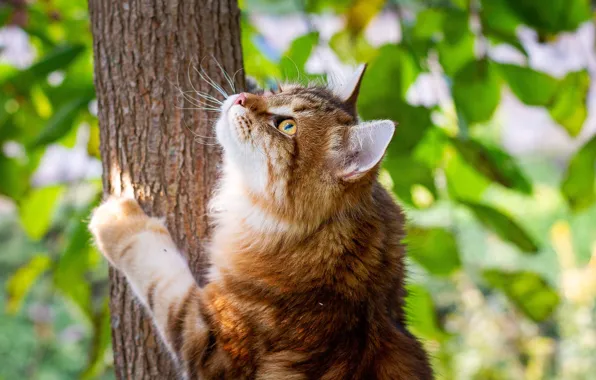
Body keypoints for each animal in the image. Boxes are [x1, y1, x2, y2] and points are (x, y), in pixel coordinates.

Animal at [89, 65, 434, 380]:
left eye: (287, 126)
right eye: (274, 91)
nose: (241, 97)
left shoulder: (212, 341)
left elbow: (157, 271)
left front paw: (117, 220)